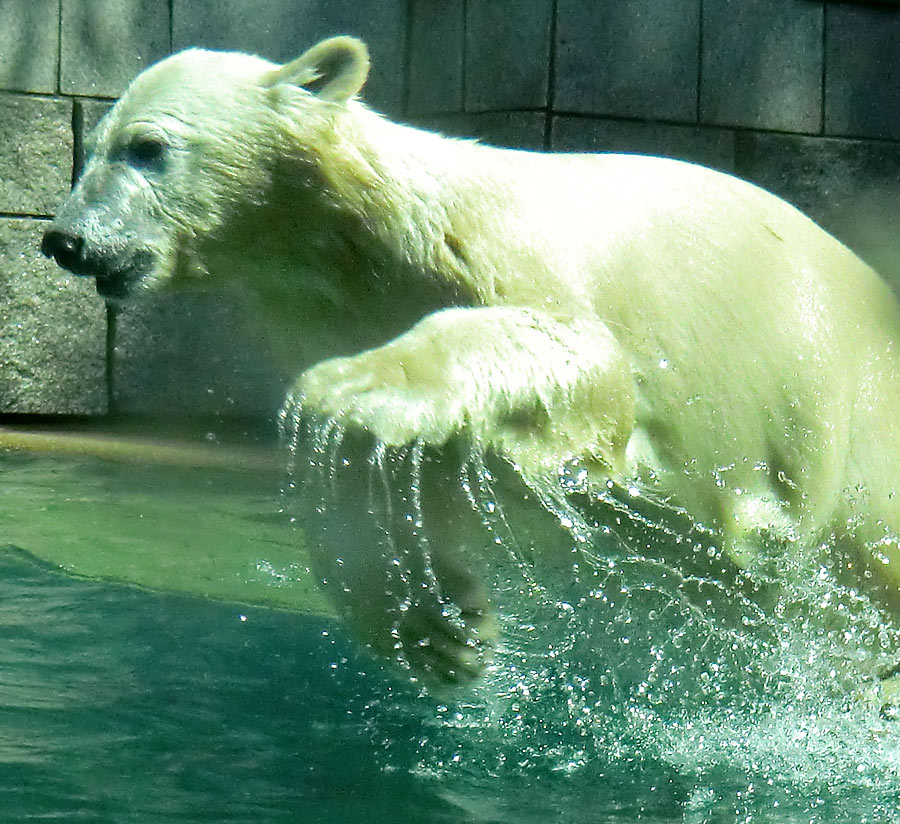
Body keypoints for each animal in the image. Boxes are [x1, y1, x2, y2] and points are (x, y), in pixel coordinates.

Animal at [44, 33, 900, 688]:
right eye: (94, 147)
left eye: (147, 147)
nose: (65, 239)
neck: (358, 244)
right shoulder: (323, 312)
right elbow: (373, 486)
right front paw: (443, 634)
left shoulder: (495, 248)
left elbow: (587, 357)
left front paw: (354, 389)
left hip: (861, 423)